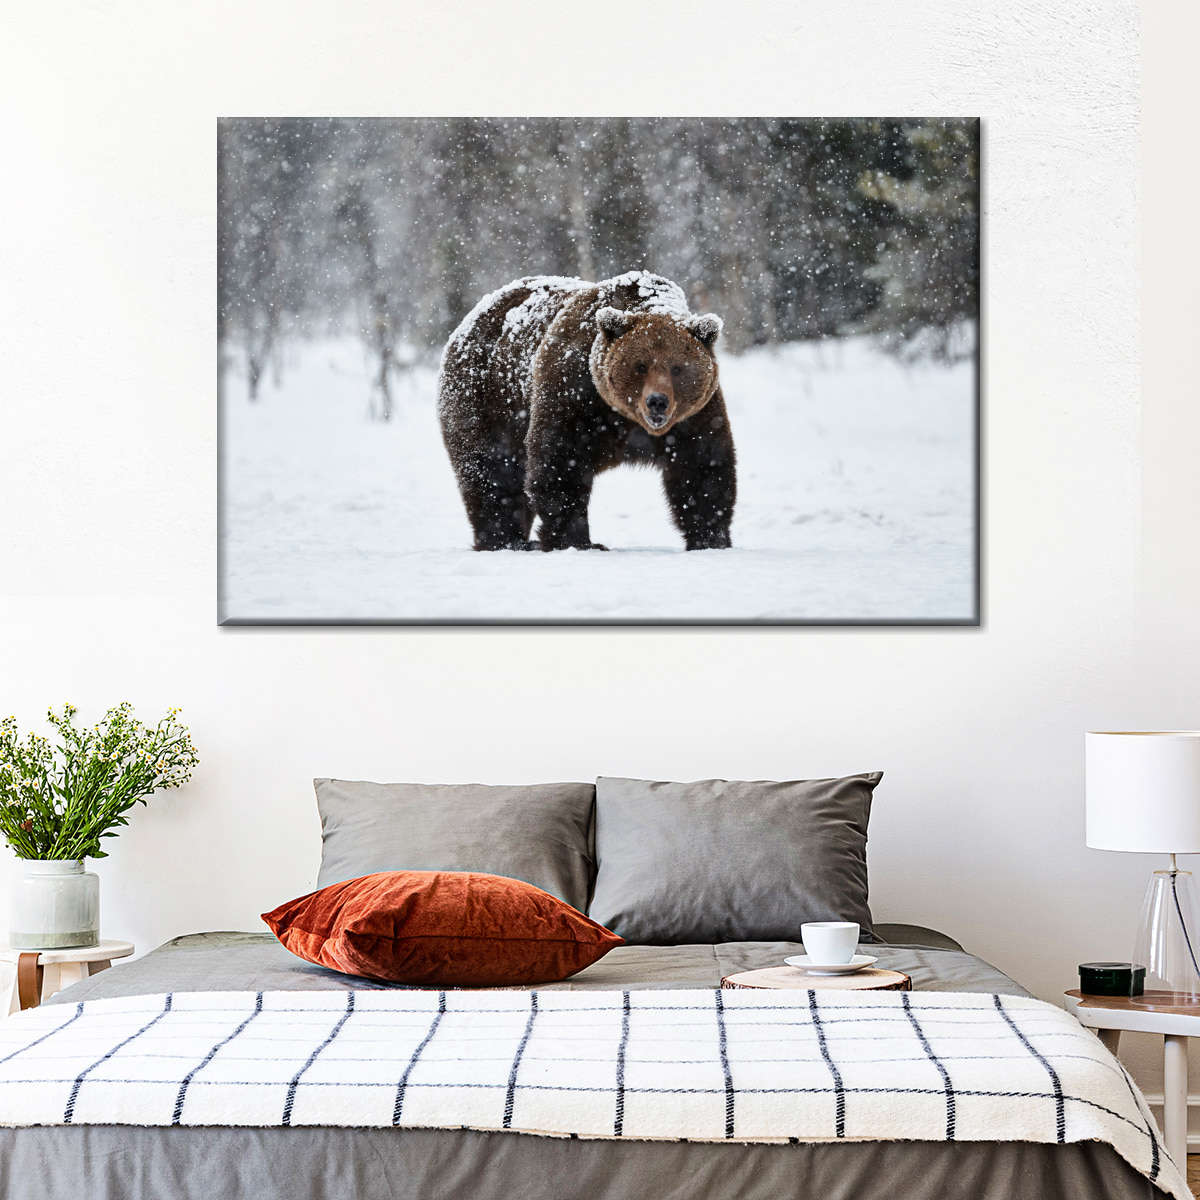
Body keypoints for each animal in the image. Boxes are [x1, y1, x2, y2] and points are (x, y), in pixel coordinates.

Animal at [437, 270, 736, 552]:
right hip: (488, 399)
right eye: (640, 365)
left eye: (677, 368)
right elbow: (560, 463)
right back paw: (505, 540)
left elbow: (702, 468)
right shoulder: (574, 393)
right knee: (493, 472)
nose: (657, 401)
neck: (625, 418)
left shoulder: (694, 417)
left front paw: (711, 538)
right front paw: (577, 541)